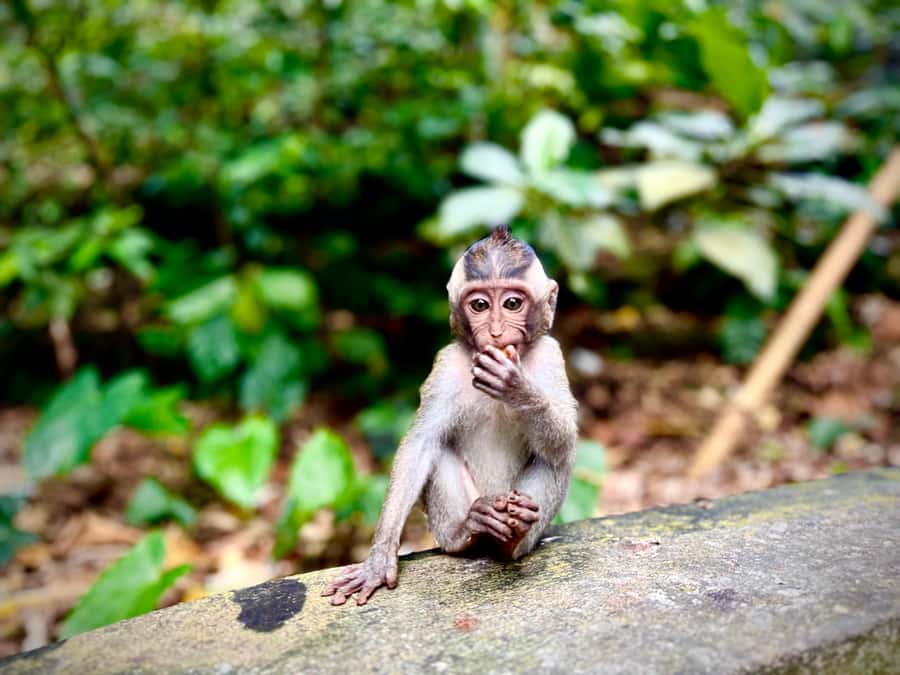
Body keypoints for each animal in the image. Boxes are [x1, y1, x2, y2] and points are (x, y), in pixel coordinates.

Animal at [322, 225, 578, 606]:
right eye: (480, 305)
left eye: (512, 303)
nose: (496, 331)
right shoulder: (445, 365)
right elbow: (420, 445)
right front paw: (379, 558)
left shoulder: (551, 355)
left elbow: (565, 441)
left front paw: (516, 389)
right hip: (447, 523)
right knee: (439, 453)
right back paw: (471, 529)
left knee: (556, 458)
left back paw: (514, 535)